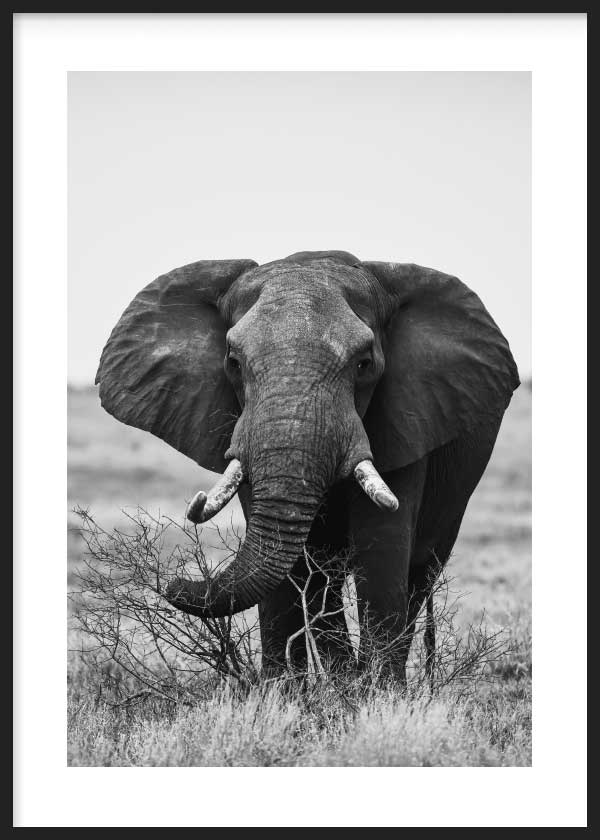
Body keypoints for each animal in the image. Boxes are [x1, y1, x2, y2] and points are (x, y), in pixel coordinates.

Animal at [96, 250, 519, 681]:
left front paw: (378, 693)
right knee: (325, 576)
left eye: (364, 364)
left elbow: (382, 545)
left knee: (418, 573)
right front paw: (284, 692)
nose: (172, 583)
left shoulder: (406, 416)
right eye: (233, 363)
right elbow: (289, 563)